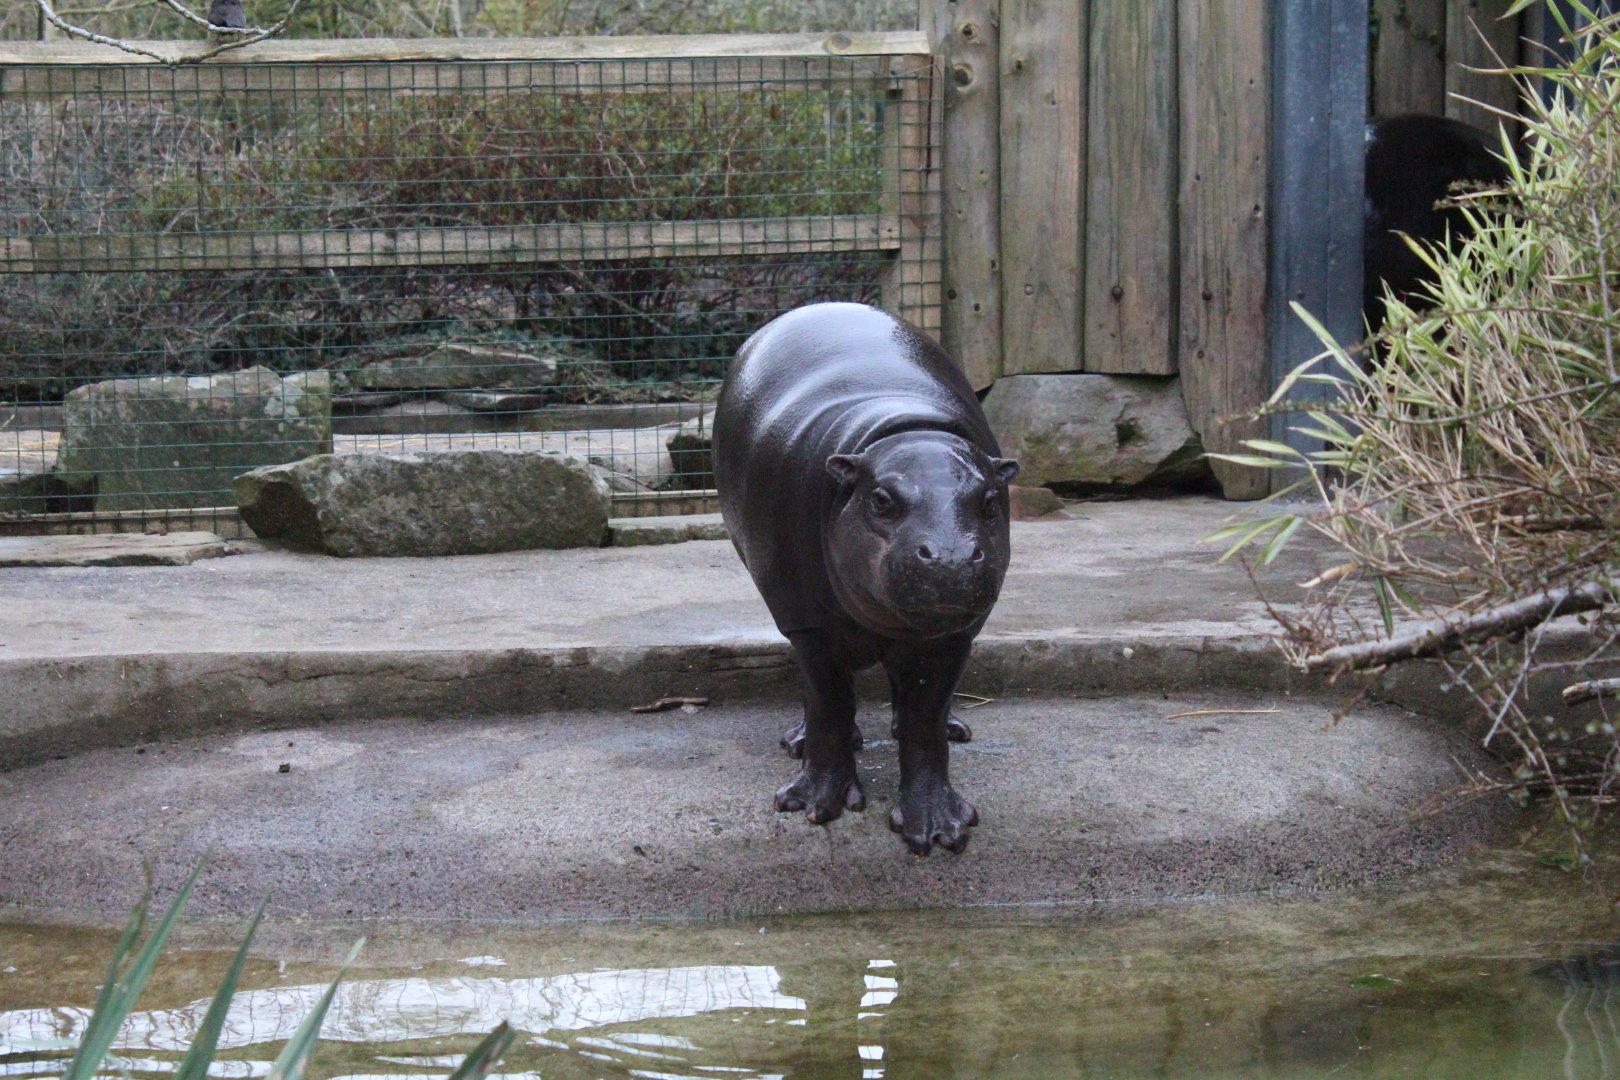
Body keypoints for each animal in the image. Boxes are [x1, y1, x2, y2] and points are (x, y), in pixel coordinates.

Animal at [713, 303, 1019, 855]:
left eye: (989, 500)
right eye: (880, 499)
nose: (950, 556)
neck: (903, 429)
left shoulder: (955, 634)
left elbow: (924, 721)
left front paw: (937, 828)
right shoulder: (809, 625)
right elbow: (830, 705)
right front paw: (814, 807)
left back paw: (954, 727)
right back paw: (798, 743)